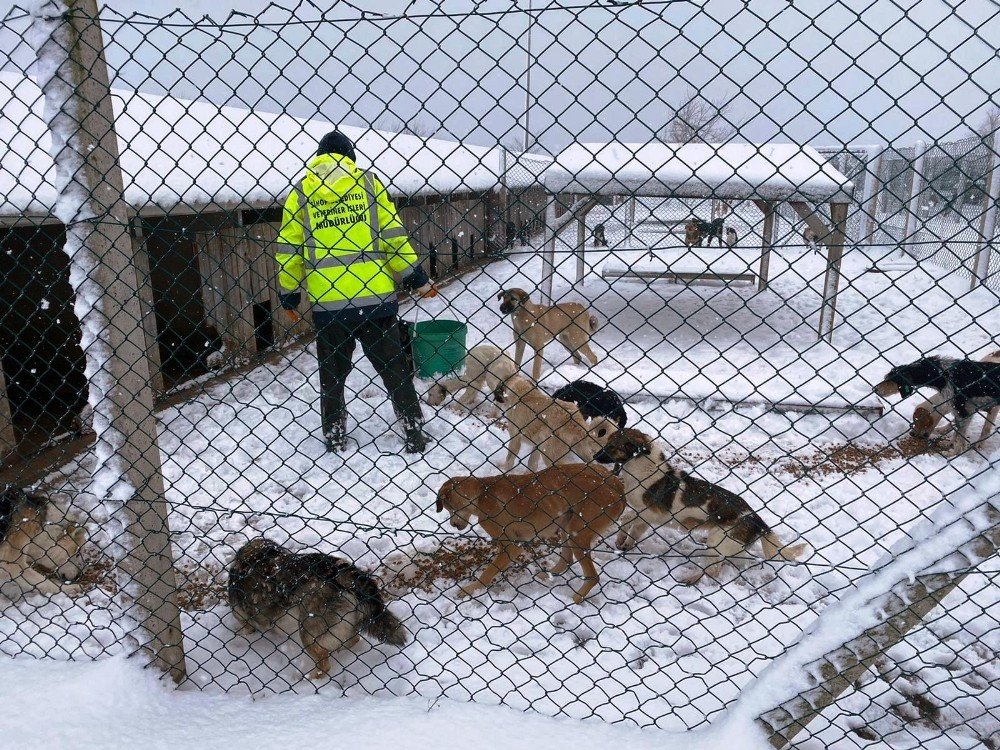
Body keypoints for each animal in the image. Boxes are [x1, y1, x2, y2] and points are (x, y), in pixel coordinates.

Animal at [229, 540, 406, 680]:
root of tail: (340, 572)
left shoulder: (241, 615)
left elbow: (246, 629)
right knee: (353, 640)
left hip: (307, 633)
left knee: (324, 666)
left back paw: (308, 681)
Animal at [438, 464, 624, 604]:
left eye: (449, 508)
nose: (453, 524)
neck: (482, 493)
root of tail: (618, 485)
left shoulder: (511, 546)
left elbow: (487, 573)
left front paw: (469, 590)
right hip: (567, 525)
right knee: (566, 560)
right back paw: (548, 575)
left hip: (577, 533)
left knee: (593, 577)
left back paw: (575, 600)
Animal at [592, 432, 812, 584]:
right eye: (607, 441)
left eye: (612, 446)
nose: (594, 456)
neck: (643, 469)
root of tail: (757, 519)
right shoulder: (646, 518)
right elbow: (634, 530)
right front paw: (625, 544)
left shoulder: (652, 513)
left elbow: (626, 518)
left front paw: (620, 538)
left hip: (718, 542)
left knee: (713, 572)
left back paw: (693, 579)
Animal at [872, 358, 1000, 458]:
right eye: (885, 378)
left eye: (891, 380)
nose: (875, 389)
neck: (943, 374)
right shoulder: (961, 411)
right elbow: (956, 433)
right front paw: (950, 445)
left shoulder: (963, 412)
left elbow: (959, 437)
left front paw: (954, 453)